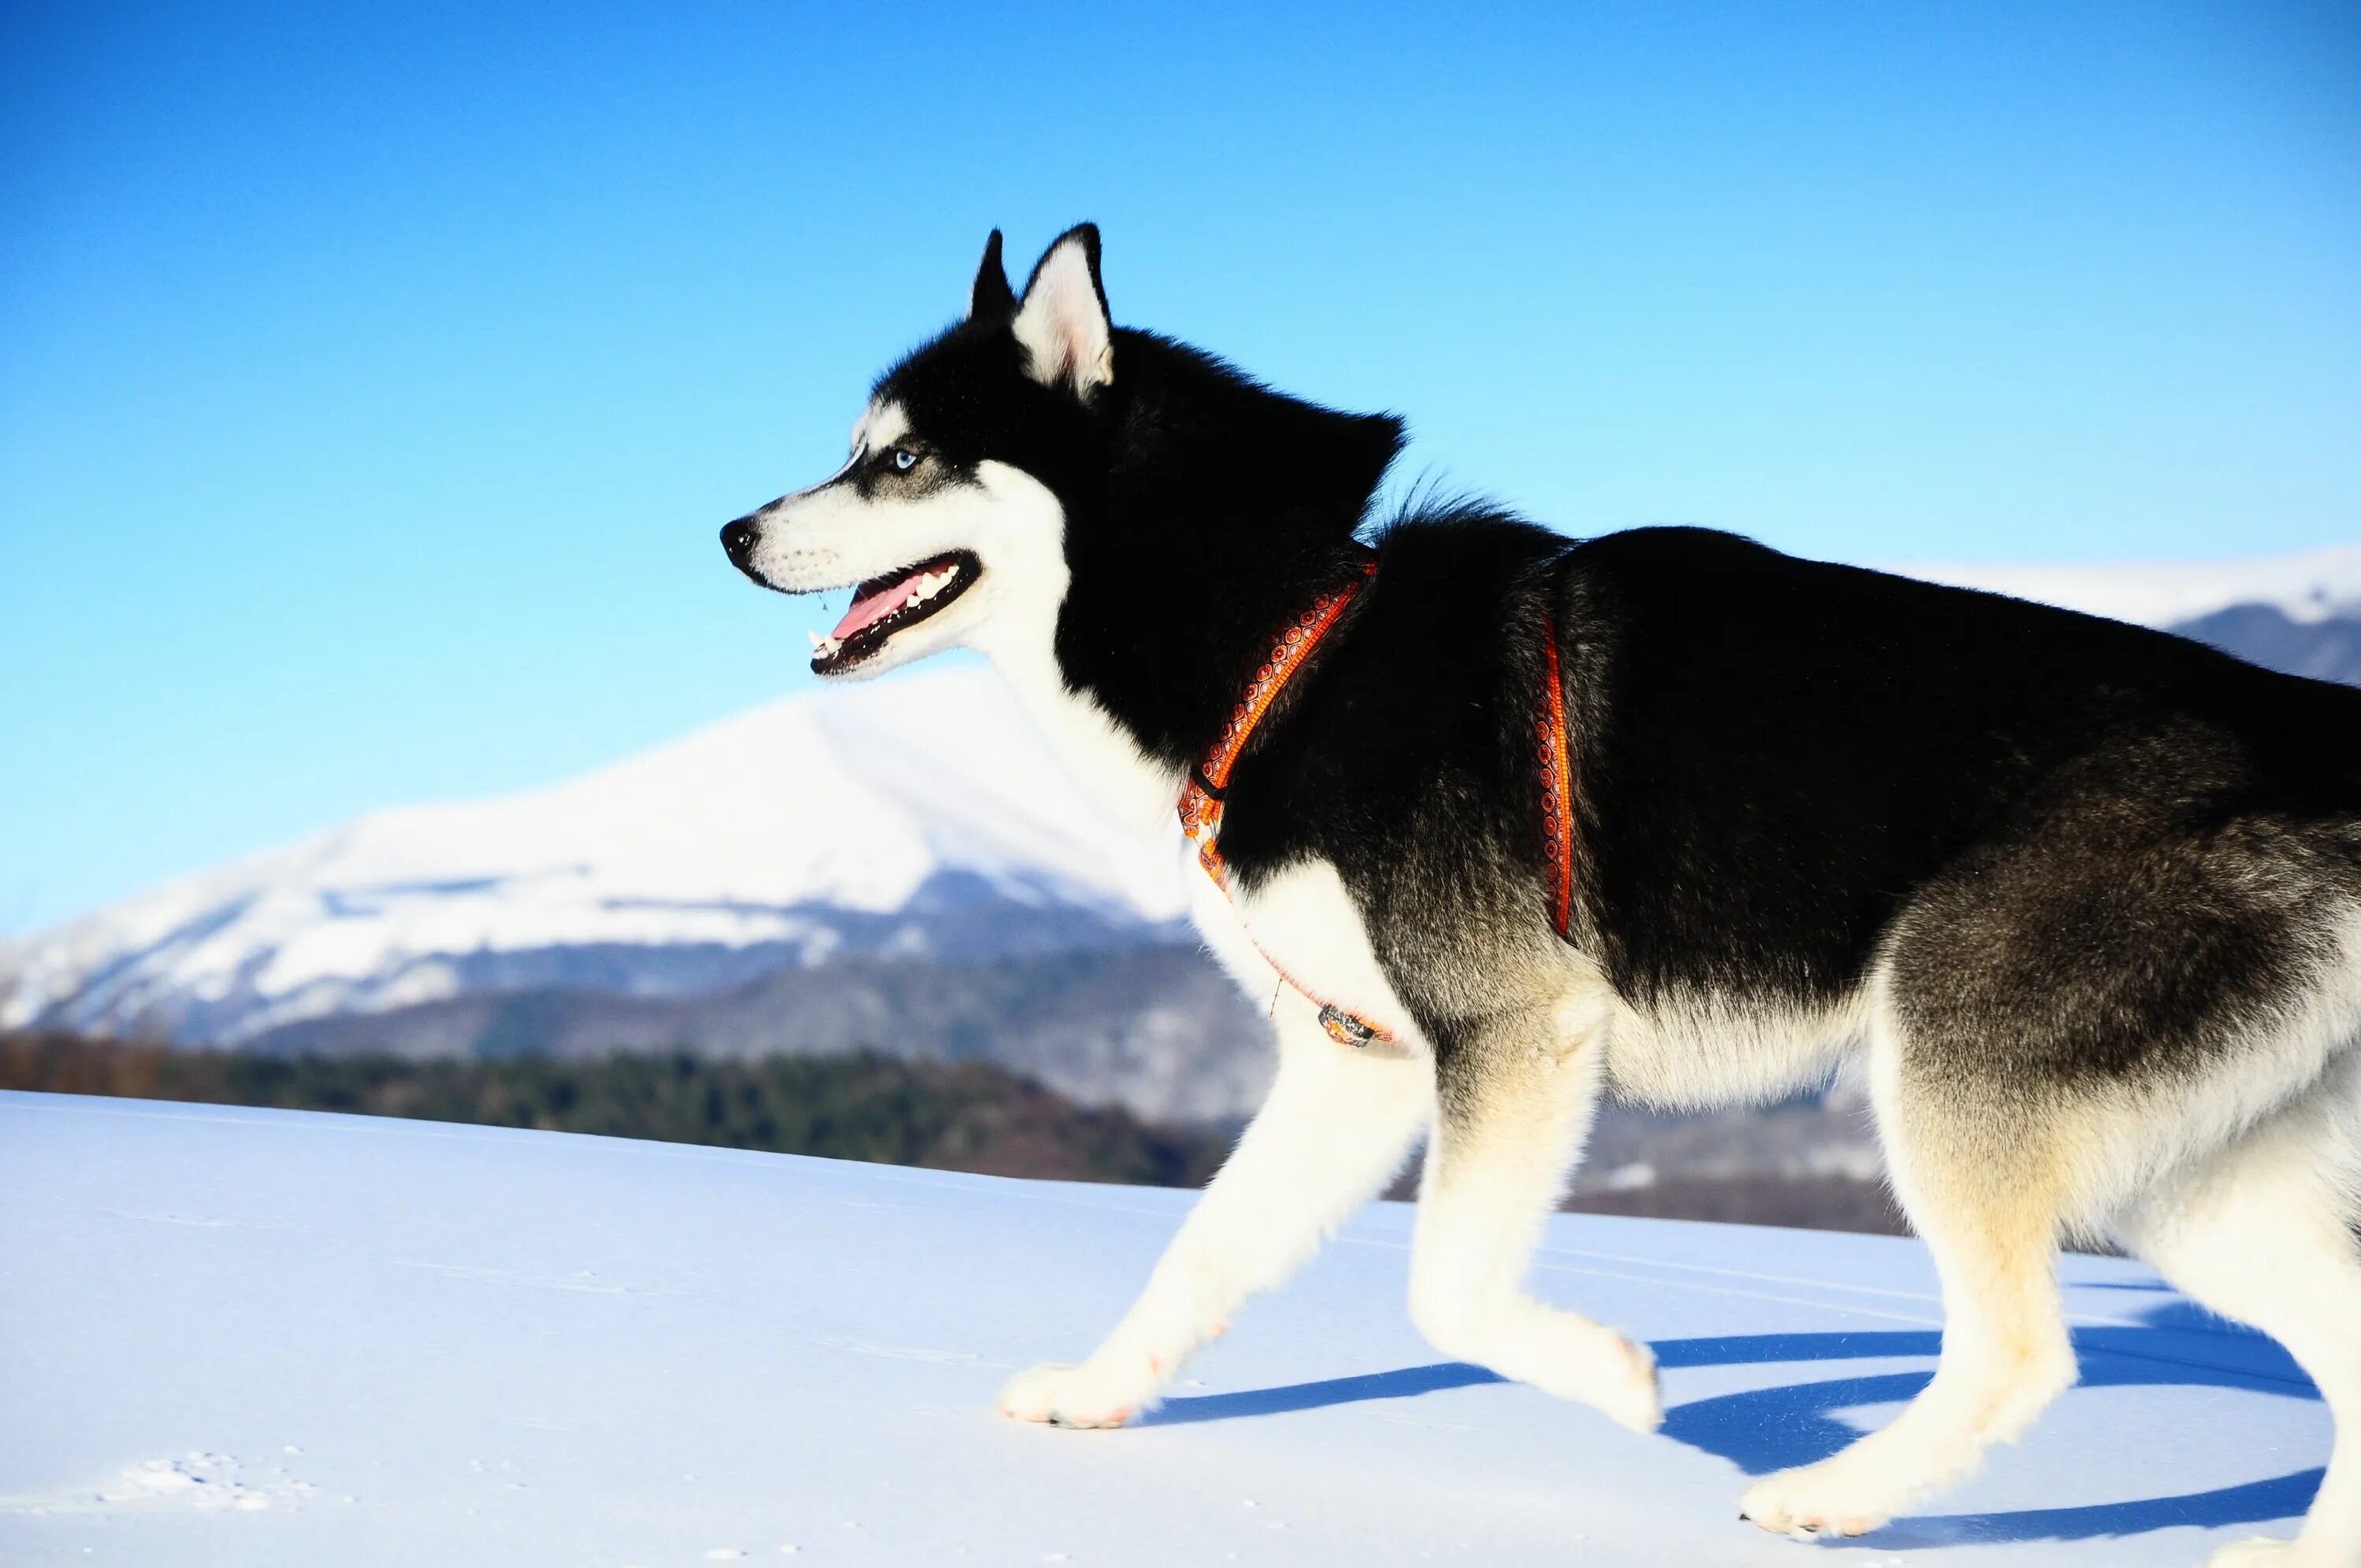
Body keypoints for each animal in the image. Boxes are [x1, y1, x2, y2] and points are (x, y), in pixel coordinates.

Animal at [718, 227, 2361, 1558]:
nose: (732, 532)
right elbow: (1206, 1246)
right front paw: (1097, 1393)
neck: (1289, 652)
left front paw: (1620, 1383)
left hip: (1955, 1063)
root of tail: (2312, 726)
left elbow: (1446, 1291)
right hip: (2179, 1170)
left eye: (900, 459)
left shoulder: (1514, 1033)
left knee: (2020, 1351)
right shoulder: (1361, 1064)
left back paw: (1829, 1492)